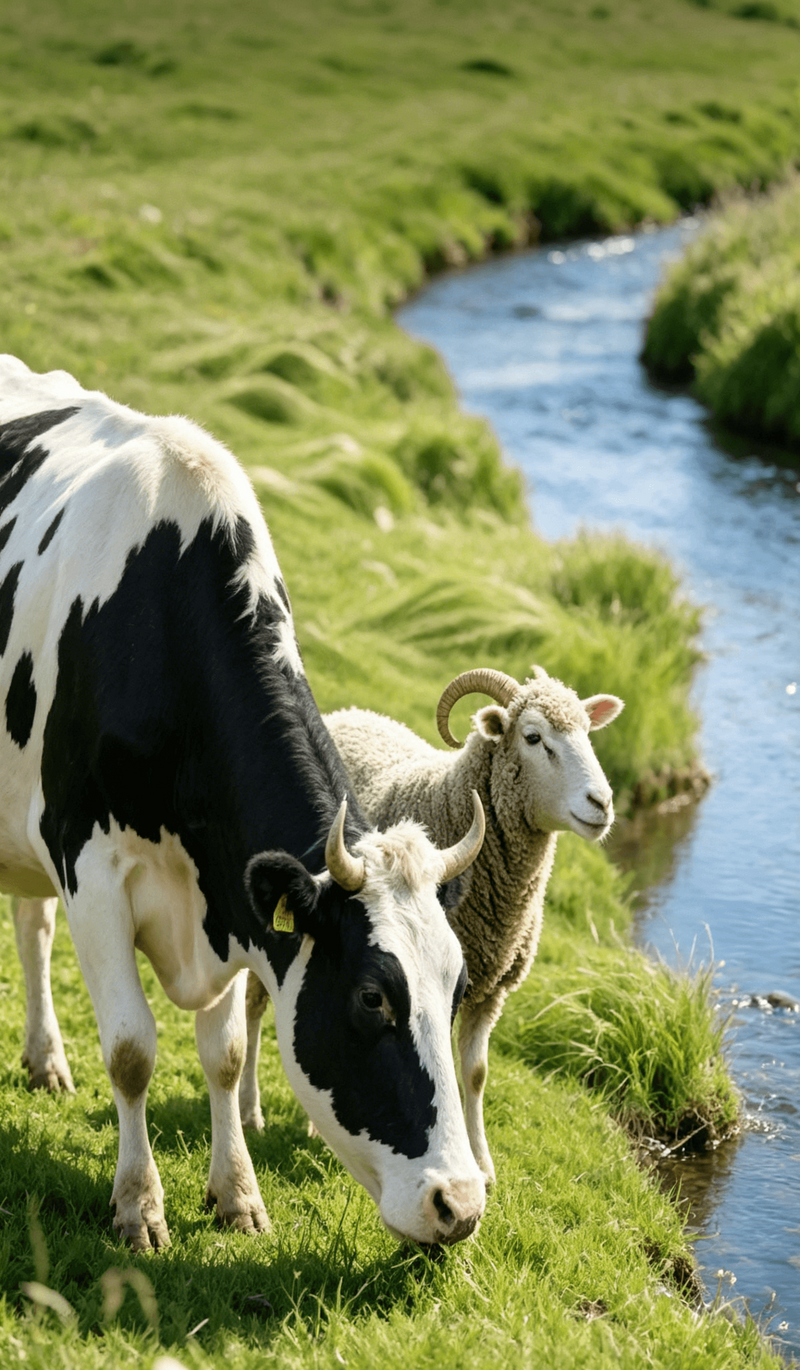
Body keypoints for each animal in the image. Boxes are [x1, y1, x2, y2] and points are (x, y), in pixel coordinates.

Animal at [0, 355, 487, 1251]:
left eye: (459, 986)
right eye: (372, 997)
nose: (460, 1205)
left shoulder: (229, 888)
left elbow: (223, 1053)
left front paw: (236, 1194)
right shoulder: (90, 864)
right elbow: (132, 1050)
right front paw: (139, 1205)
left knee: (31, 923)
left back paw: (46, 1058)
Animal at [240, 666, 623, 1185]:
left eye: (587, 731)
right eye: (533, 737)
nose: (602, 803)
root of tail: (354, 713)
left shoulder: (488, 990)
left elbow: (476, 1073)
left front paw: (483, 1164)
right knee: (254, 1006)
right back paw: (251, 1111)